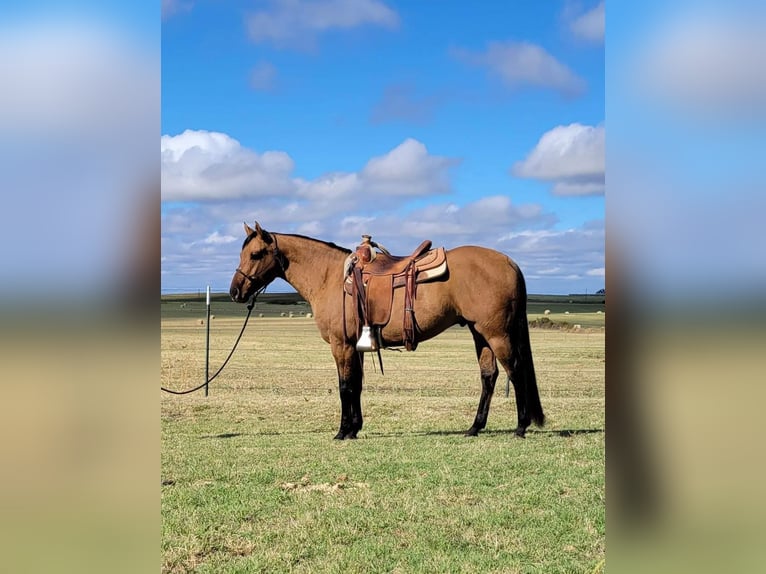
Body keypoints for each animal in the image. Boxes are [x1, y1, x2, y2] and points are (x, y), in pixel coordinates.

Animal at [230, 223, 544, 444]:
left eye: (255, 254)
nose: (235, 291)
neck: (329, 277)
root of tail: (508, 262)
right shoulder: (354, 346)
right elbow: (356, 385)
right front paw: (355, 428)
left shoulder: (341, 345)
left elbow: (345, 386)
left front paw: (342, 431)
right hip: (481, 334)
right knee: (489, 376)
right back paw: (475, 427)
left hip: (497, 334)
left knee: (515, 371)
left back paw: (520, 426)